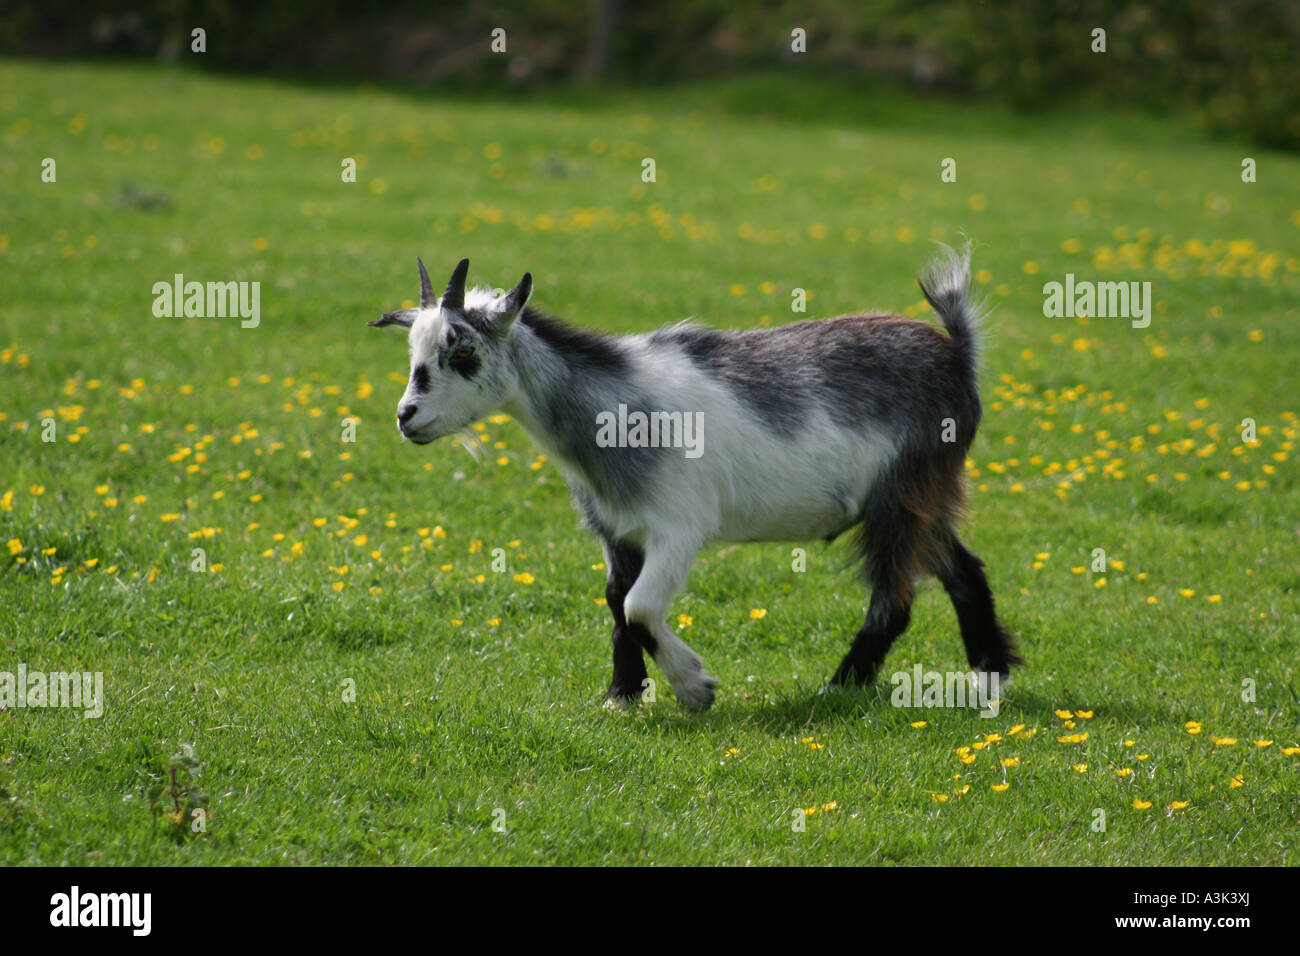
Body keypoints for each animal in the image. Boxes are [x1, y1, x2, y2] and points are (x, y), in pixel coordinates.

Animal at [371, 247, 1019, 712]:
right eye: (412, 354)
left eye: (463, 353)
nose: (407, 417)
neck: (613, 413)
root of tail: (958, 356)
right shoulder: (616, 531)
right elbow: (616, 601)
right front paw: (622, 694)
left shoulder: (678, 527)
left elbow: (639, 606)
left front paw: (695, 687)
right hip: (925, 497)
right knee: (964, 569)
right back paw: (990, 676)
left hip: (901, 494)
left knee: (895, 598)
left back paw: (839, 687)